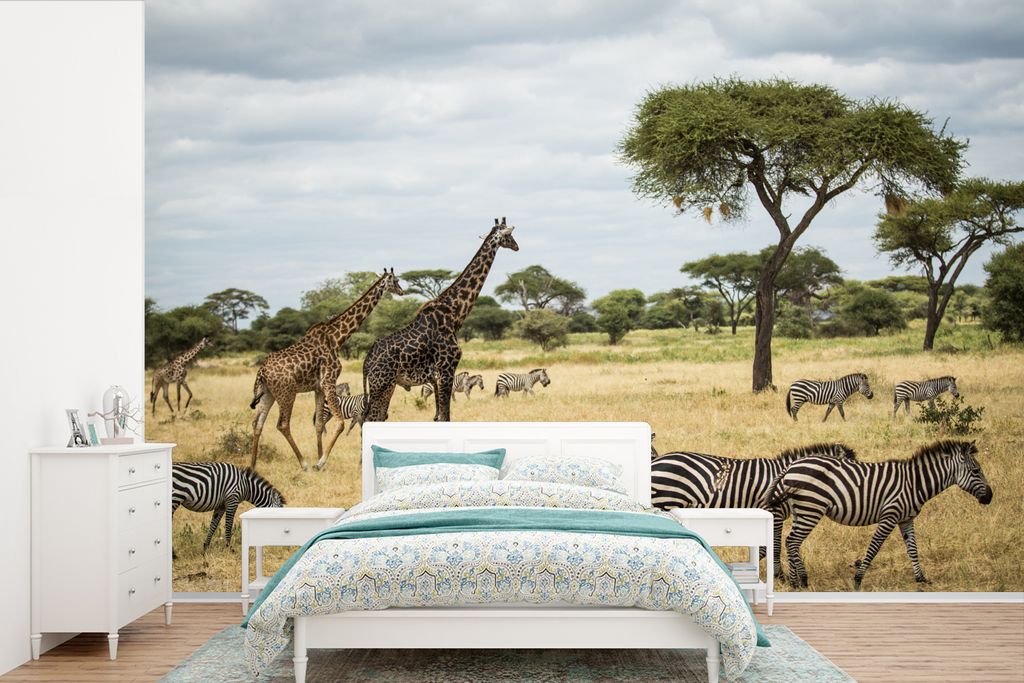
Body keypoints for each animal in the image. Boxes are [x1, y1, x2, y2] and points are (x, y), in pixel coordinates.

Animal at [651, 443, 857, 568]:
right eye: (851, 476)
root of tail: (656, 461)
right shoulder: (774, 513)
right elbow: (773, 546)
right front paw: (779, 575)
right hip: (665, 501)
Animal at [766, 439, 992, 590]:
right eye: (976, 471)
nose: (990, 497)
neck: (915, 483)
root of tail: (790, 467)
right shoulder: (890, 516)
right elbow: (874, 547)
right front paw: (858, 579)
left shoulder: (906, 519)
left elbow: (913, 549)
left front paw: (921, 578)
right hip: (811, 508)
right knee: (793, 541)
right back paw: (799, 581)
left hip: (801, 510)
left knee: (790, 541)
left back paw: (798, 581)